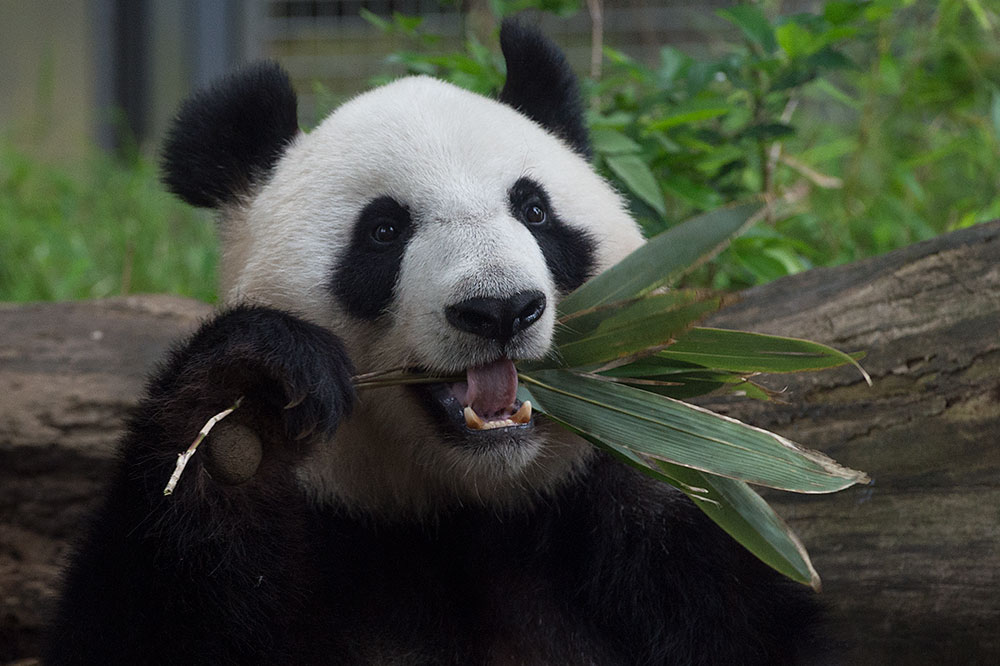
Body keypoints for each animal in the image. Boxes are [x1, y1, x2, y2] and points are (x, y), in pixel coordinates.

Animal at [45, 18, 820, 660]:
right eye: (384, 230)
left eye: (535, 210)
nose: (500, 309)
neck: (461, 508)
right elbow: (137, 619)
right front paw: (247, 408)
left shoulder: (641, 535)